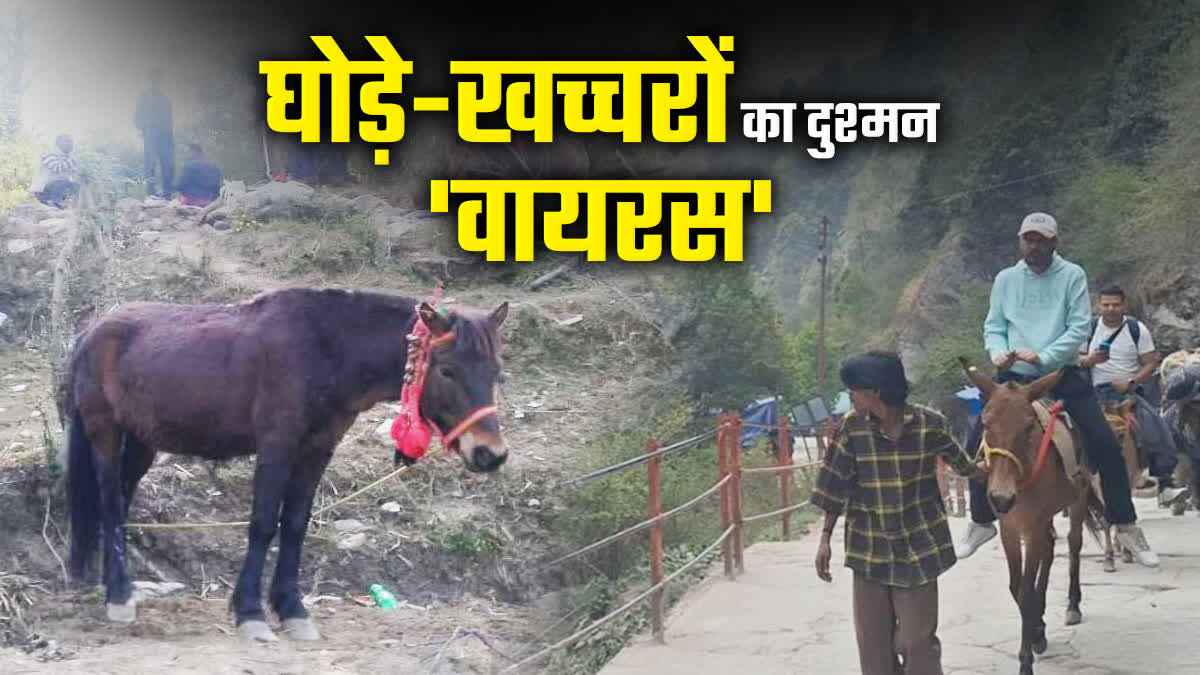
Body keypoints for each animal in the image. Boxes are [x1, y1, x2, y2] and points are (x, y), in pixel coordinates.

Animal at [59, 287, 510, 642]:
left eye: (496, 372)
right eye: (447, 370)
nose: (491, 454)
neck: (326, 350)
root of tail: (89, 332)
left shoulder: (317, 449)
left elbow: (294, 524)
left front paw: (292, 609)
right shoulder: (277, 446)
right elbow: (263, 524)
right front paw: (250, 612)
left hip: (141, 443)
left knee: (119, 500)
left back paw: (114, 584)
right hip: (104, 431)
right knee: (111, 504)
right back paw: (119, 595)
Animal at [959, 358, 1106, 675]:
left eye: (1028, 427)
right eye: (986, 424)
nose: (1001, 498)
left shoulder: (1031, 526)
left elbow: (1025, 589)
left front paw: (1026, 658)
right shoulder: (1011, 529)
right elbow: (1017, 587)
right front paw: (1037, 631)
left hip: (1076, 502)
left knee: (1073, 545)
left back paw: (1072, 606)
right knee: (1050, 550)